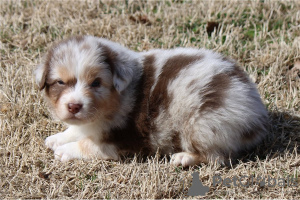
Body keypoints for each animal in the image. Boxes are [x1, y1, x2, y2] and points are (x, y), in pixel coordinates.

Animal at [35, 35, 270, 166]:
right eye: (60, 82)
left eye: (96, 83)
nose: (74, 106)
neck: (117, 99)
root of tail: (256, 114)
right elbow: (77, 130)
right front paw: (57, 138)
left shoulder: (125, 140)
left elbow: (89, 145)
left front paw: (64, 150)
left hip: (202, 124)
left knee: (218, 158)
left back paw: (183, 158)